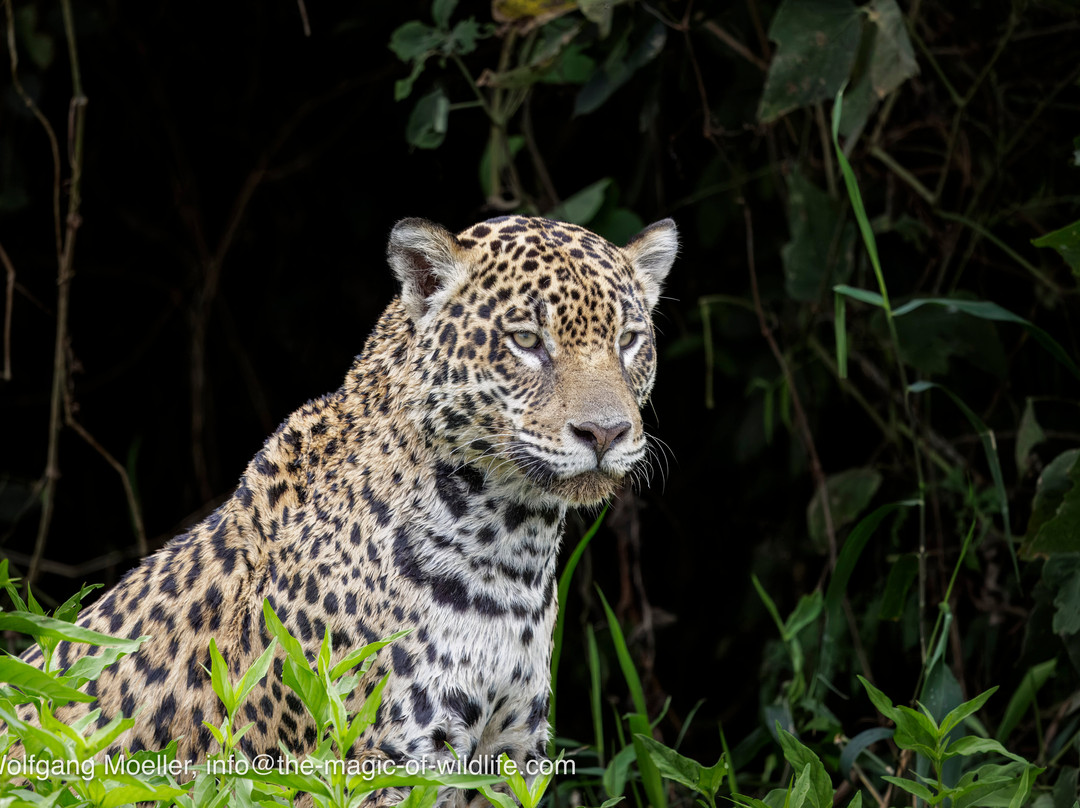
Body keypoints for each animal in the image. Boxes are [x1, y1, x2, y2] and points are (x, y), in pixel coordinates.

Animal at [18, 214, 678, 802]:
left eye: (629, 341)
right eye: (525, 341)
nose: (606, 432)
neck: (509, 548)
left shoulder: (513, 756)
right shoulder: (375, 765)